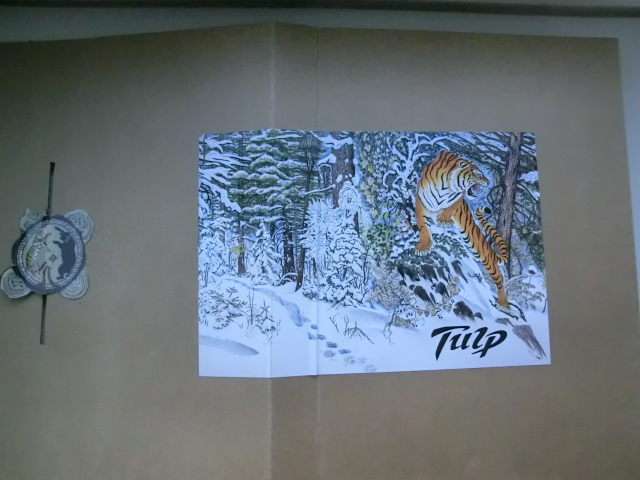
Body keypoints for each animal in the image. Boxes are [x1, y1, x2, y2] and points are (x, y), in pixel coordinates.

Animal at [414, 150, 509, 309]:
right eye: (477, 174)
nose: (488, 182)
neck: (445, 187)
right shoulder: (422, 199)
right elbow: (423, 228)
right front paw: (423, 247)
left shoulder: (457, 198)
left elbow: (452, 205)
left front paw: (443, 220)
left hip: (484, 256)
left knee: (499, 277)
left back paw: (503, 303)